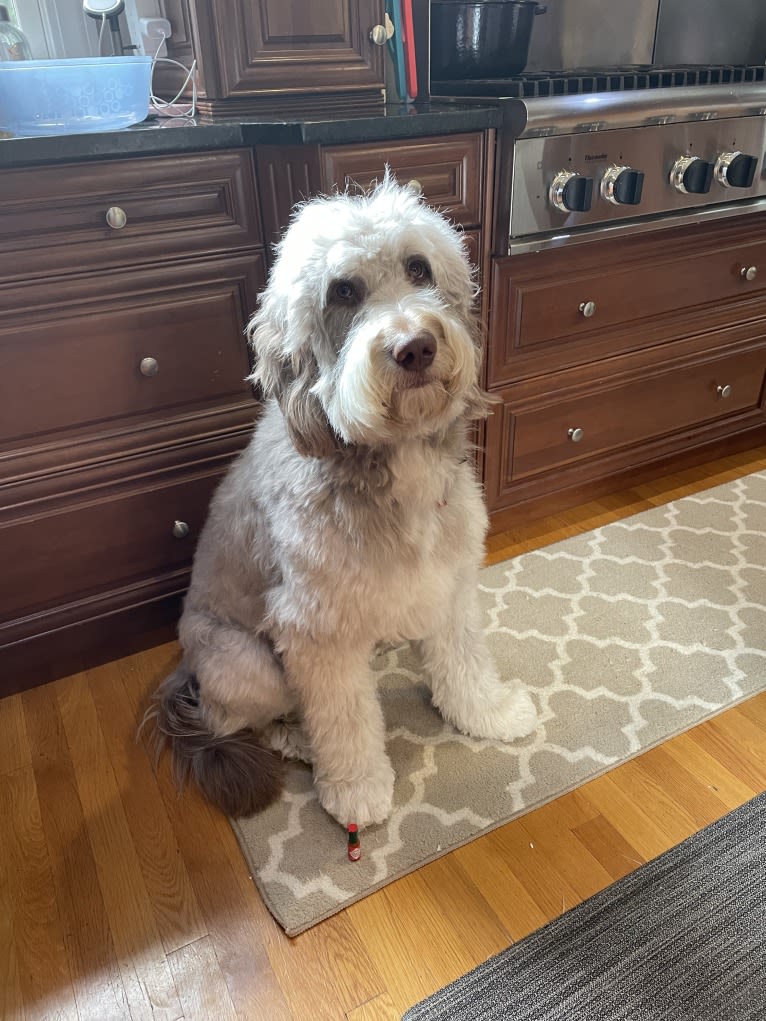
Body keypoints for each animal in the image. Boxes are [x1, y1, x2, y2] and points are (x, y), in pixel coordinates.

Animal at [148, 177, 535, 829]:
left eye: (418, 267)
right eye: (343, 291)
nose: (415, 347)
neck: (396, 460)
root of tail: (185, 673)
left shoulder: (449, 584)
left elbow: (463, 660)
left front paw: (486, 713)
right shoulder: (316, 629)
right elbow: (345, 719)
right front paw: (356, 788)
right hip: (247, 665)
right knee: (237, 720)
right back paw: (299, 739)